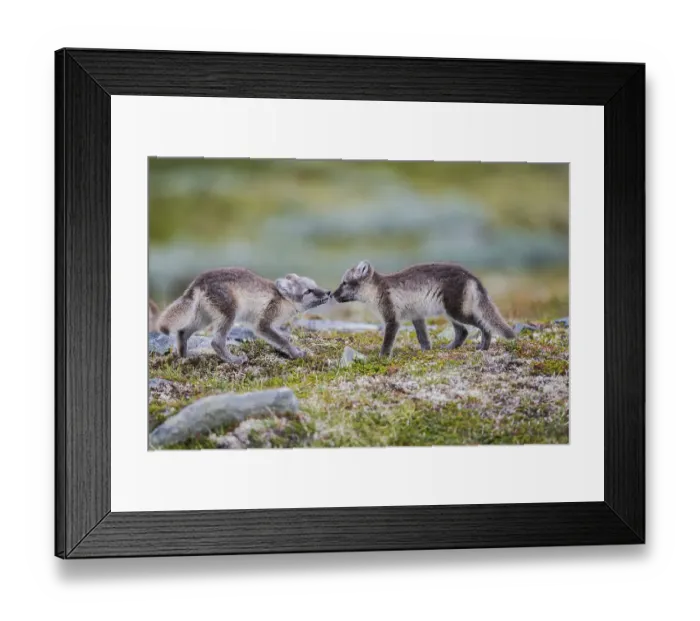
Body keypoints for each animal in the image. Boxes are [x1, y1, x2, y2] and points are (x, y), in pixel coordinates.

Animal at [157, 268, 331, 364]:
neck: (284, 299)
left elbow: (282, 336)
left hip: (202, 318)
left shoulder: (272, 325)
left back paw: (185, 356)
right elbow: (283, 340)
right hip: (229, 314)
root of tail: (198, 281)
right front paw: (295, 353)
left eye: (315, 285)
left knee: (181, 332)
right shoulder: (263, 323)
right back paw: (234, 360)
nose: (329, 292)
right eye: (308, 291)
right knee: (216, 342)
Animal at [332, 261, 516, 357]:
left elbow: (387, 342)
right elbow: (423, 338)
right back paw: (450, 348)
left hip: (456, 312)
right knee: (462, 332)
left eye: (344, 283)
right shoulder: (417, 316)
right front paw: (426, 352)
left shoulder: (392, 319)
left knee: (483, 325)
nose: (332, 294)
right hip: (451, 313)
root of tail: (471, 276)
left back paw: (484, 347)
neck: (377, 290)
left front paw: (382, 357)